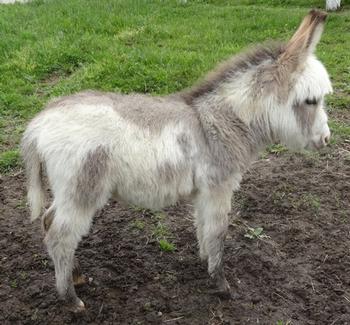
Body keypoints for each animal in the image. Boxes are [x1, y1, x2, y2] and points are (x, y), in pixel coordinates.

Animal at [21, 9, 334, 308]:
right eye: (310, 101)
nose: (326, 140)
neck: (223, 120)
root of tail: (39, 122)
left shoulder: (204, 191)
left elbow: (203, 228)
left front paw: (205, 262)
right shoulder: (219, 187)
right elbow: (218, 231)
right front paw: (221, 285)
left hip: (68, 192)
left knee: (49, 221)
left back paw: (75, 276)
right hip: (82, 191)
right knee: (60, 237)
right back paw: (71, 298)